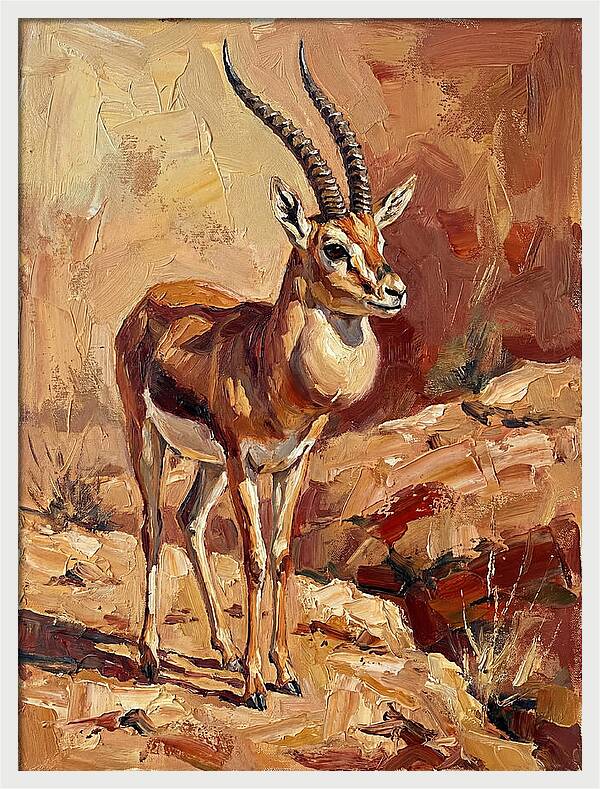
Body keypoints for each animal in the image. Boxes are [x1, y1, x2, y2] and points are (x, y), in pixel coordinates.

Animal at [115, 39, 416, 710]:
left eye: (379, 237)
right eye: (333, 246)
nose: (393, 291)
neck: (272, 372)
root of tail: (148, 299)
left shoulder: (291, 463)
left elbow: (280, 555)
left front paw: (285, 670)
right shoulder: (245, 462)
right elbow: (252, 557)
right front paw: (255, 684)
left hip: (205, 464)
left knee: (190, 522)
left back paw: (224, 650)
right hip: (149, 439)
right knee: (152, 525)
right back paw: (152, 657)